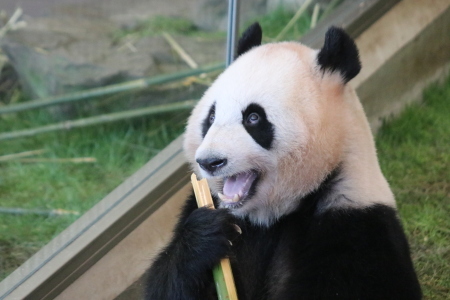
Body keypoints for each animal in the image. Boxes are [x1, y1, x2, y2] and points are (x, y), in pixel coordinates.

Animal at [145, 24, 422, 300]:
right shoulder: (205, 208)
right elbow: (164, 284)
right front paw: (206, 233)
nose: (210, 161)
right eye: (211, 117)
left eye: (253, 118)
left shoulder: (355, 221)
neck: (270, 214)